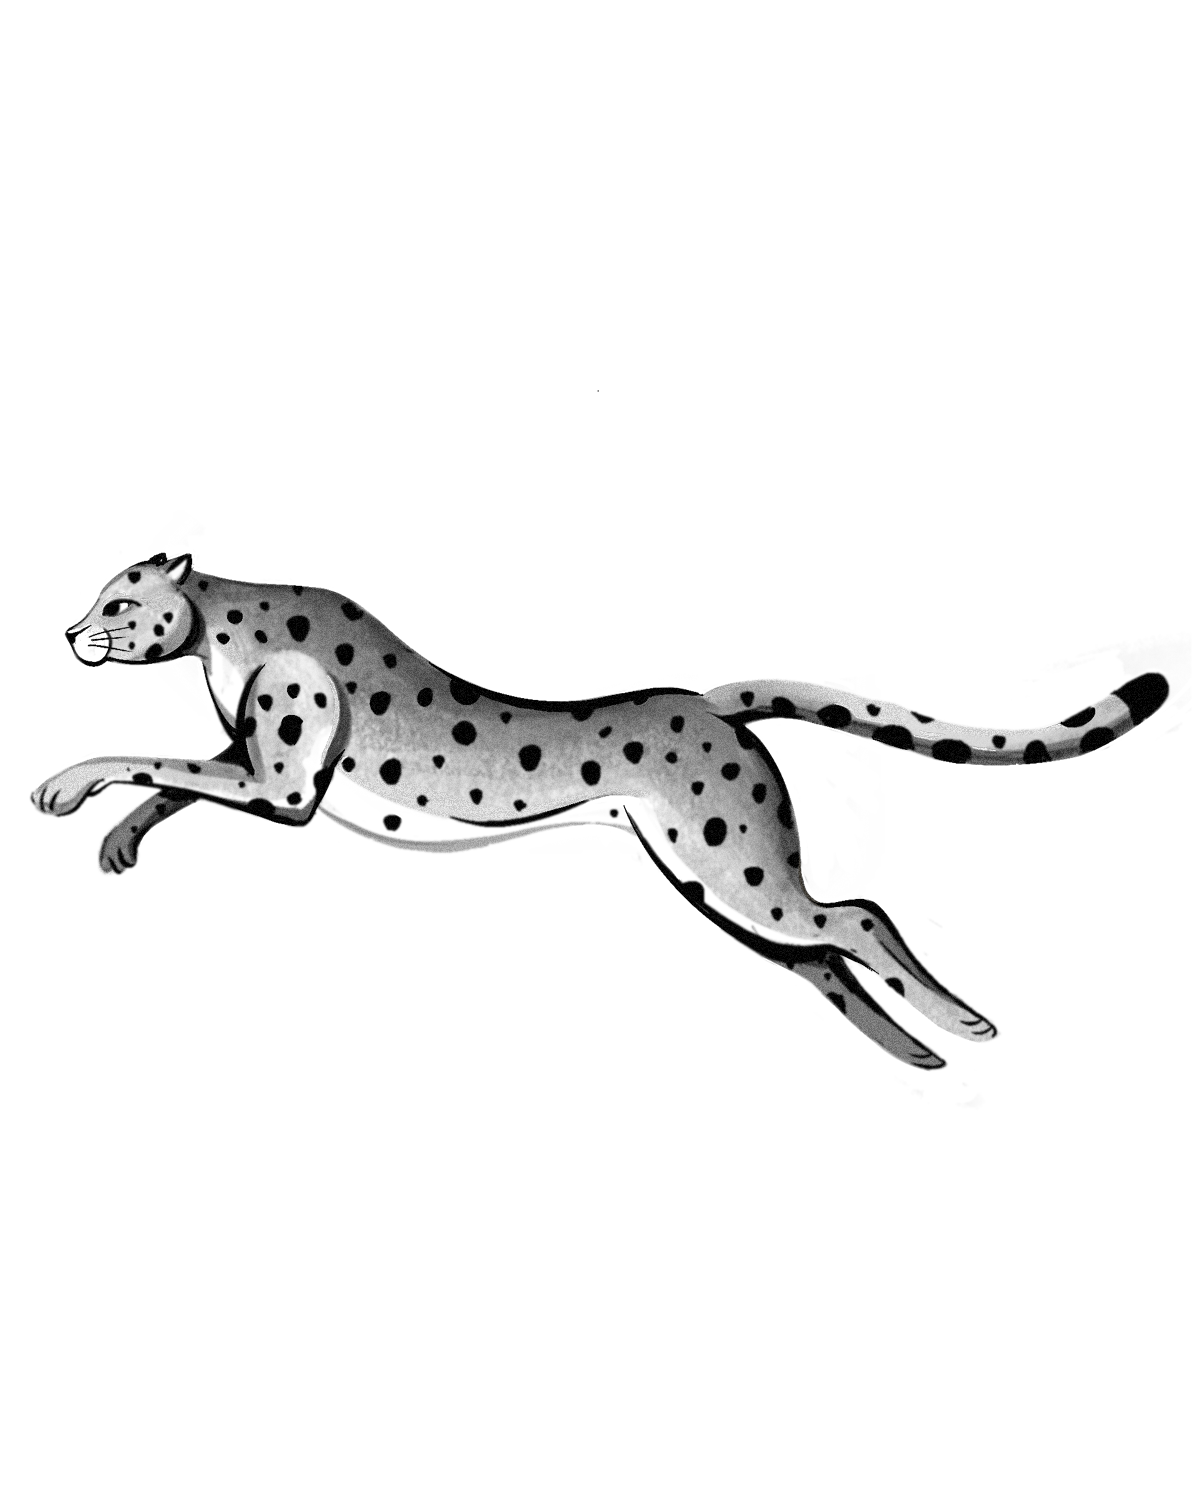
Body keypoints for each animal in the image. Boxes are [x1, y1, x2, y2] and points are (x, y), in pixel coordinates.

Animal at [33, 547, 1175, 1073]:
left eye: (121, 599)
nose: (80, 631)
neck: (217, 623)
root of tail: (706, 695)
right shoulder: (261, 773)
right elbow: (173, 776)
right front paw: (115, 836)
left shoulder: (278, 781)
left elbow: (158, 757)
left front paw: (68, 782)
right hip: (732, 876)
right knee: (825, 946)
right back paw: (907, 1044)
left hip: (739, 869)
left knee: (853, 919)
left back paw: (967, 1030)